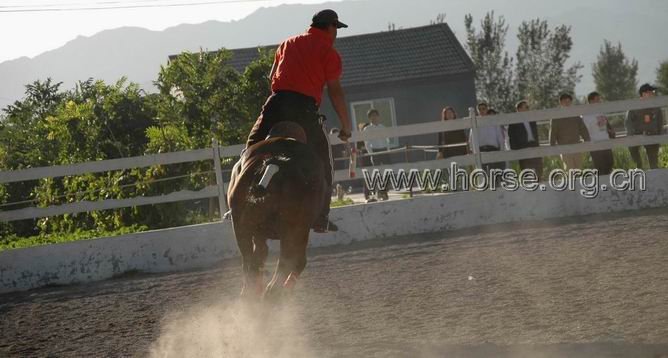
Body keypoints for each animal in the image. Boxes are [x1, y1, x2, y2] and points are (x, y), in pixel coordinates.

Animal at [227, 121, 326, 298]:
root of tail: (276, 162)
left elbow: (260, 253)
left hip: (241, 224)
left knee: (251, 260)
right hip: (293, 228)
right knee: (289, 261)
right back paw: (271, 294)